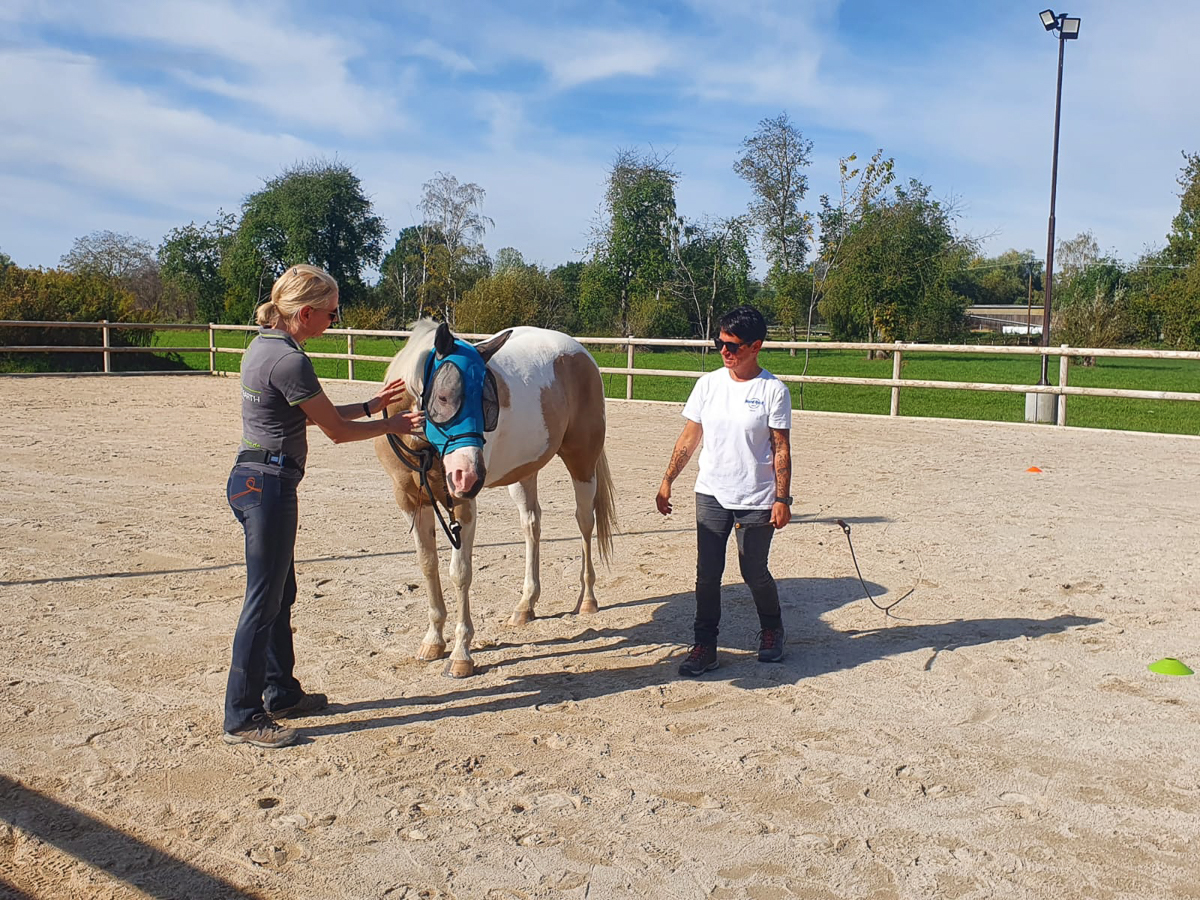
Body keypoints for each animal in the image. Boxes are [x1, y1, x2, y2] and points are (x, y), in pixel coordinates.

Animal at [374, 319, 617, 677]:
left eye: (489, 401)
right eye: (444, 396)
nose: (470, 475)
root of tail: (578, 351)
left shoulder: (462, 504)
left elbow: (460, 572)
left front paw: (461, 654)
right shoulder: (410, 501)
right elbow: (428, 565)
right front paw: (433, 640)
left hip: (582, 462)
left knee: (585, 523)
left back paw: (587, 599)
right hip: (523, 473)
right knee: (532, 525)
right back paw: (525, 606)